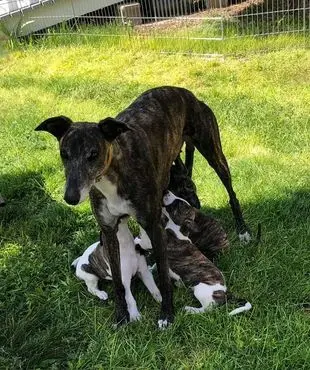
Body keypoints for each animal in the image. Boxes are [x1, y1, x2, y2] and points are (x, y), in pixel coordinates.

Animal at [35, 86, 249, 326]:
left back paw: (243, 230)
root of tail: (187, 94)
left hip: (213, 151)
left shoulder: (154, 227)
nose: (70, 197)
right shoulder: (109, 231)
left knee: (231, 192)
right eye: (64, 154)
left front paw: (166, 315)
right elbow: (119, 281)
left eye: (93, 154)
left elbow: (163, 277)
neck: (114, 172)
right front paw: (121, 315)